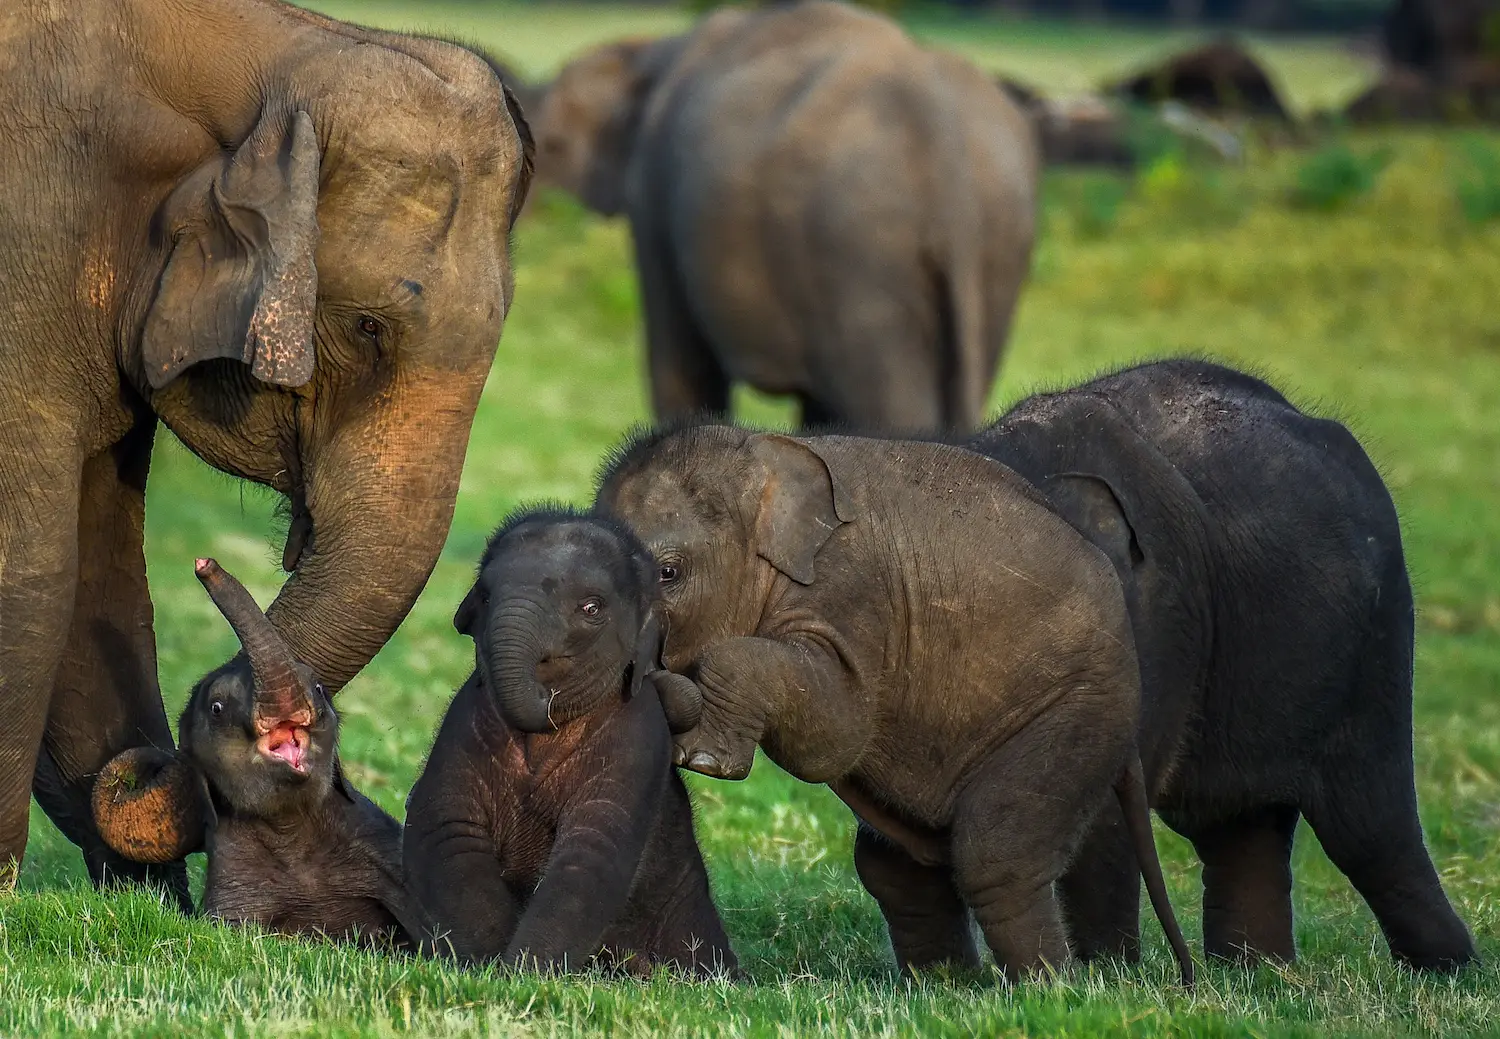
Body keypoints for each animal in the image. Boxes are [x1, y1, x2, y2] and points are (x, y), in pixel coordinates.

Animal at [0, 0, 532, 898]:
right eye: (368, 327)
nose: (140, 762)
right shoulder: (30, 245)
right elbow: (33, 566)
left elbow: (95, 565)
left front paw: (144, 901)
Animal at [403, 508, 735, 975]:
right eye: (484, 597)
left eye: (591, 608)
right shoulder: (464, 722)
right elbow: (447, 832)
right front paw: (489, 969)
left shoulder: (637, 740)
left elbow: (589, 850)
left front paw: (521, 973)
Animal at [532, 0, 1039, 432]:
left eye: (552, 145)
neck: (654, 49)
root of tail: (940, 132)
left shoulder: (654, 191)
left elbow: (683, 366)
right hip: (998, 244)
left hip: (861, 253)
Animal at [596, 427, 1192, 983]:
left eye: (668, 573)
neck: (764, 455)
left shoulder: (852, 594)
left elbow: (836, 735)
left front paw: (701, 762)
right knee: (897, 864)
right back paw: (947, 989)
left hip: (1081, 707)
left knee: (998, 857)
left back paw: (1049, 991)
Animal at [962, 358, 1477, 973]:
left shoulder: (1156, 616)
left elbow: (1103, 795)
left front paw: (1104, 978)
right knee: (1239, 824)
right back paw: (1257, 974)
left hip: (1375, 639)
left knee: (1368, 825)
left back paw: (1450, 970)